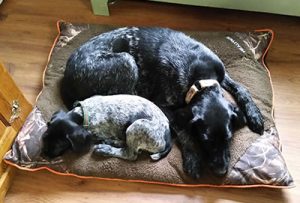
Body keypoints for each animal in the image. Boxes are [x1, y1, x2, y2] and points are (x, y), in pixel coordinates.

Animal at [42, 94, 173, 161]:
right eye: (45, 137)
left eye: (59, 144)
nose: (46, 154)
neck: (83, 113)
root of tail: (168, 136)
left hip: (136, 127)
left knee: (130, 154)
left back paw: (106, 149)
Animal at [61, 26, 264, 178]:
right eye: (205, 140)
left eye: (229, 138)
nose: (221, 172)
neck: (199, 78)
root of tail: (66, 79)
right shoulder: (164, 107)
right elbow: (184, 132)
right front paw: (192, 159)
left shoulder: (222, 76)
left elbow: (242, 89)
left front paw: (255, 115)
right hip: (127, 62)